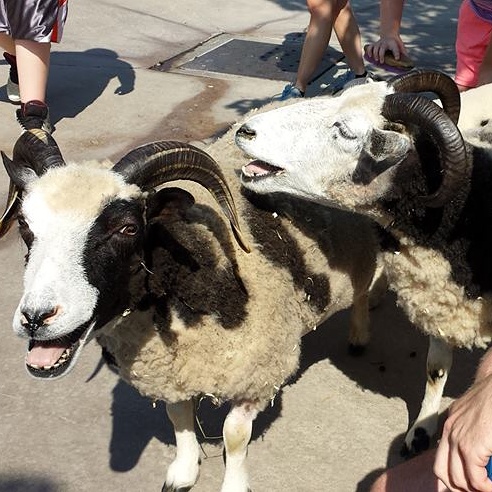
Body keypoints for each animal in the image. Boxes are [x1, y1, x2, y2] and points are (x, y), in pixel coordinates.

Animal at [0, 128, 380, 492]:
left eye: (128, 228)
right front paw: (182, 473)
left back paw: (360, 335)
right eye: (25, 224)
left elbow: (234, 435)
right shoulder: (173, 372)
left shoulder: (257, 373)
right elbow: (178, 417)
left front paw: (234, 485)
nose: (35, 318)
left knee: (363, 289)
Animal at [234, 69, 492, 458]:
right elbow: (435, 368)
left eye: (346, 132)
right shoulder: (441, 300)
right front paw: (421, 431)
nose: (246, 131)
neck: (467, 211)